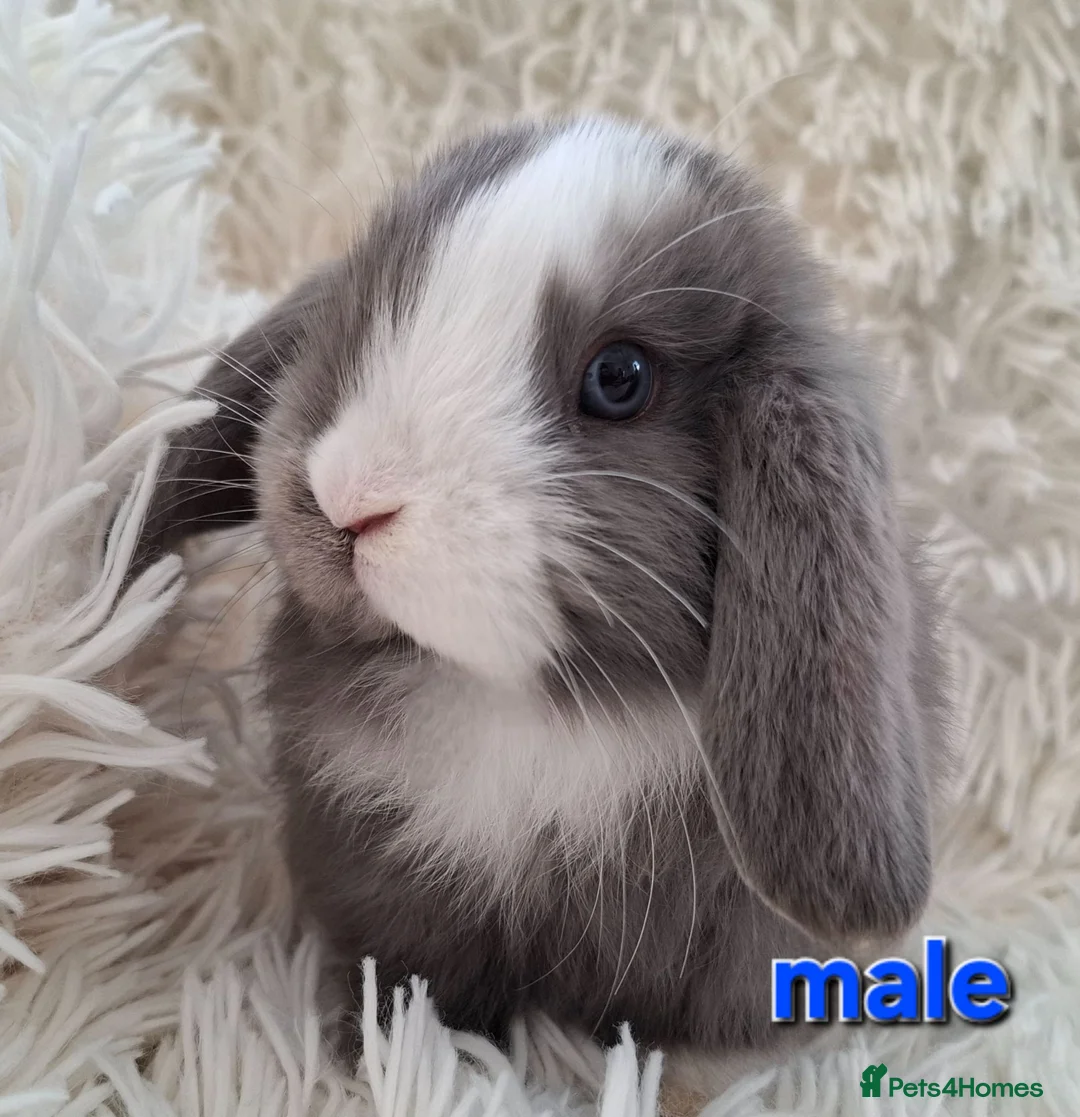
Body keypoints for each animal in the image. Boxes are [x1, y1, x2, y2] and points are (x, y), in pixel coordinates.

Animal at [131, 114, 953, 1055]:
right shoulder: (398, 900)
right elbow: (404, 982)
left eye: (620, 378)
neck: (530, 711)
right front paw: (374, 1049)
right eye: (362, 301)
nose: (349, 497)